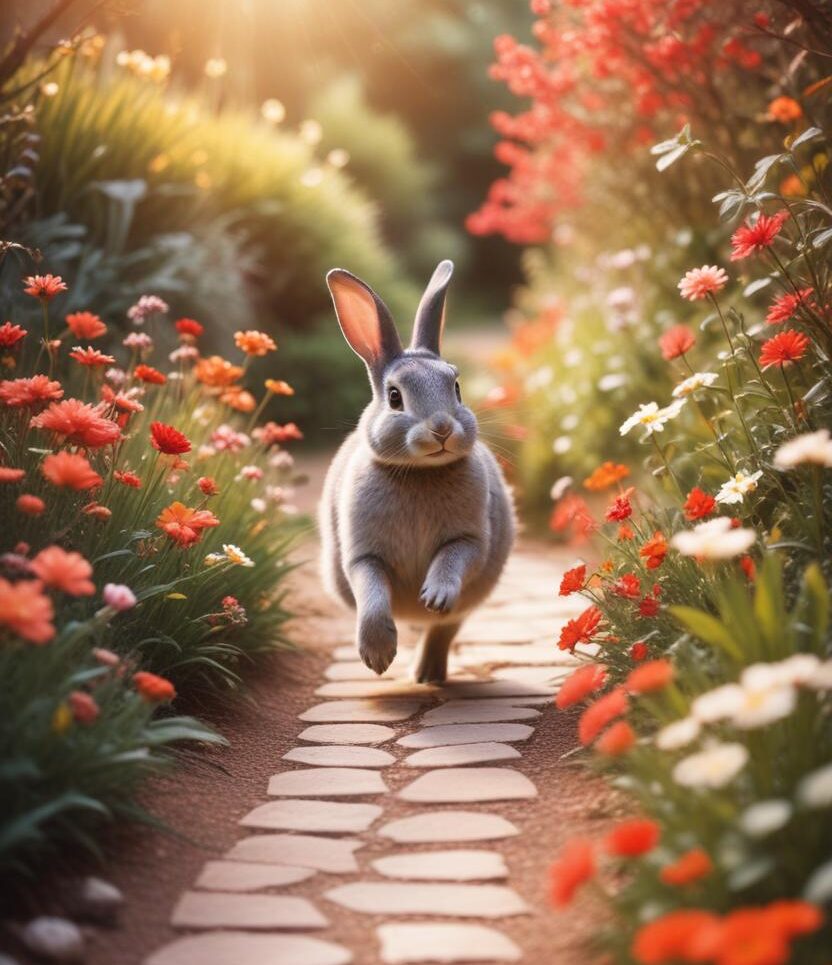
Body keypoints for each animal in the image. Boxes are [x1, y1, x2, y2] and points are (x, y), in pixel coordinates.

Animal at [319, 259, 515, 683]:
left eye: (456, 388)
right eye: (394, 397)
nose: (441, 428)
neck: (420, 471)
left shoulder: (470, 539)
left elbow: (453, 558)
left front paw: (435, 596)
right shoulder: (363, 555)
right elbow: (372, 591)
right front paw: (377, 658)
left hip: (470, 601)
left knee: (443, 629)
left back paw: (427, 674)